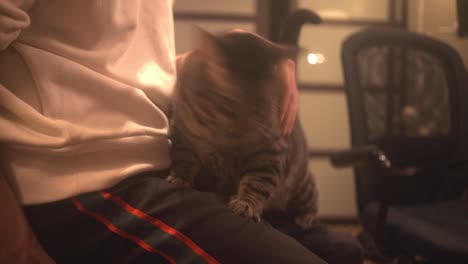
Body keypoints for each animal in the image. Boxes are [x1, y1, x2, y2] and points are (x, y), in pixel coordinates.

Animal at [167, 18, 318, 229]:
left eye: (261, 106)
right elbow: (183, 159)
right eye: (227, 103)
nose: (241, 130)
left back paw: (305, 218)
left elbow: (257, 183)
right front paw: (179, 179)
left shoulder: (269, 152)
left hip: (300, 185)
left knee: (311, 197)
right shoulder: (182, 134)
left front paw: (247, 205)